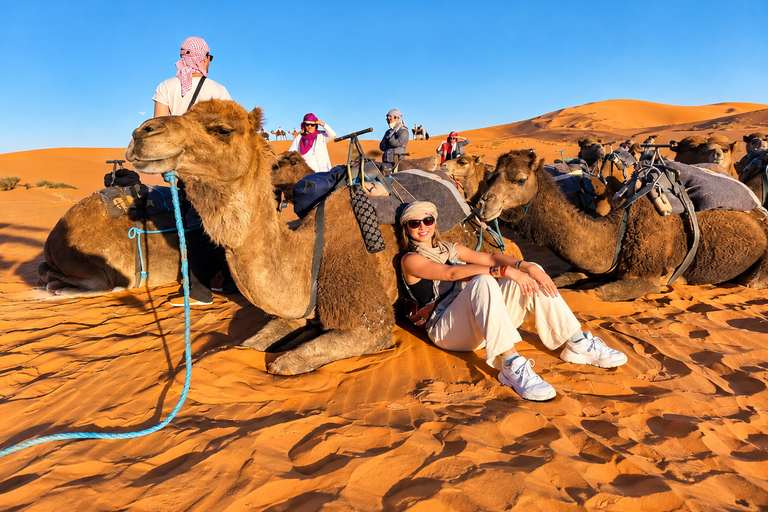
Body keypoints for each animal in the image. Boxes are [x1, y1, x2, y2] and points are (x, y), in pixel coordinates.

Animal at [126, 100, 520, 375]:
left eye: (222, 129)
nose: (142, 132)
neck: (308, 256)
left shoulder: (370, 322)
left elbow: (283, 364)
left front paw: (291, 351)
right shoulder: (296, 309)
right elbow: (248, 346)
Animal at [476, 149, 768, 302]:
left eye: (520, 179)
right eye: (490, 176)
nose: (483, 204)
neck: (618, 233)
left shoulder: (649, 279)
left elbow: (594, 295)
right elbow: (559, 279)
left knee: (751, 282)